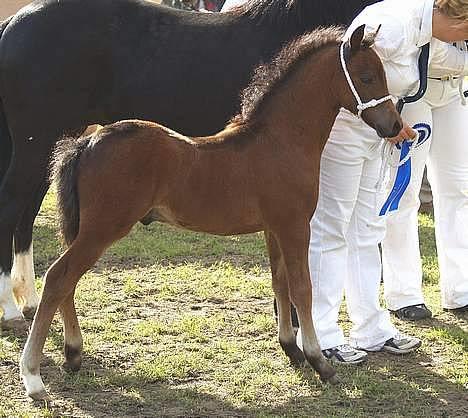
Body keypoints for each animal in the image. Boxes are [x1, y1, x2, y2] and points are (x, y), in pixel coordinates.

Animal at [0, 0, 380, 330]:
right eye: (368, 76)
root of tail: (13, 23)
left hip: (53, 147)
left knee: (28, 214)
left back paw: (29, 300)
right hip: (36, 143)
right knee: (13, 206)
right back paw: (10, 308)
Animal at [21, 25, 402, 398]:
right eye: (367, 77)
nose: (395, 126)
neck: (280, 141)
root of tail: (86, 142)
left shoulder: (272, 228)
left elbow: (279, 284)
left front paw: (291, 350)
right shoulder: (294, 225)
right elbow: (302, 289)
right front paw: (320, 362)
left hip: (85, 229)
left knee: (68, 280)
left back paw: (73, 354)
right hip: (102, 229)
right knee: (58, 276)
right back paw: (33, 377)